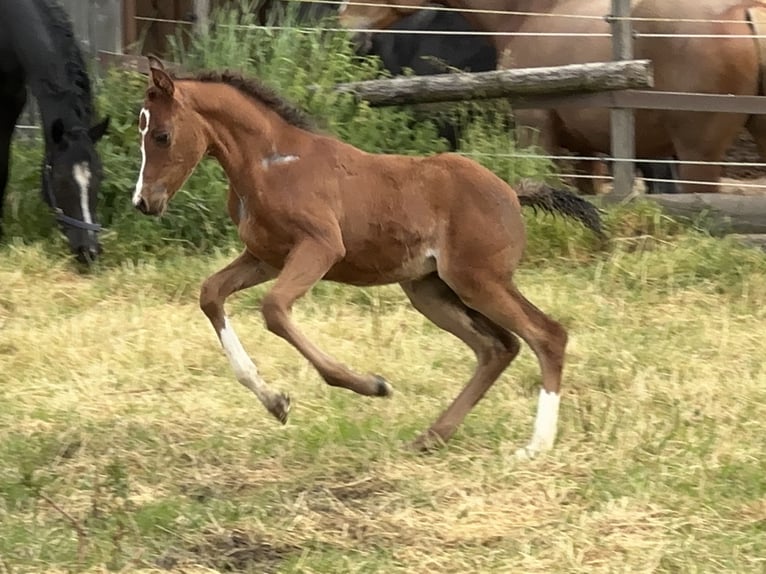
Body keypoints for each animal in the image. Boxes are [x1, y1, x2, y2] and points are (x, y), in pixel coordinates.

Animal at [131, 56, 603, 457]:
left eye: (162, 135)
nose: (143, 202)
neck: (270, 163)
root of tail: (510, 192)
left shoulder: (320, 247)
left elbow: (274, 310)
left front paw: (371, 386)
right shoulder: (265, 256)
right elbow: (211, 294)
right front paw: (276, 402)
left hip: (478, 280)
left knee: (546, 335)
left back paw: (536, 446)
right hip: (430, 290)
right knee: (497, 347)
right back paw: (432, 436)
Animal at [339, 0, 766, 195]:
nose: (344, 19)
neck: (534, 14)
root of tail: (743, 10)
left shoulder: (536, 128)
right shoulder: (586, 149)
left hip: (697, 153)